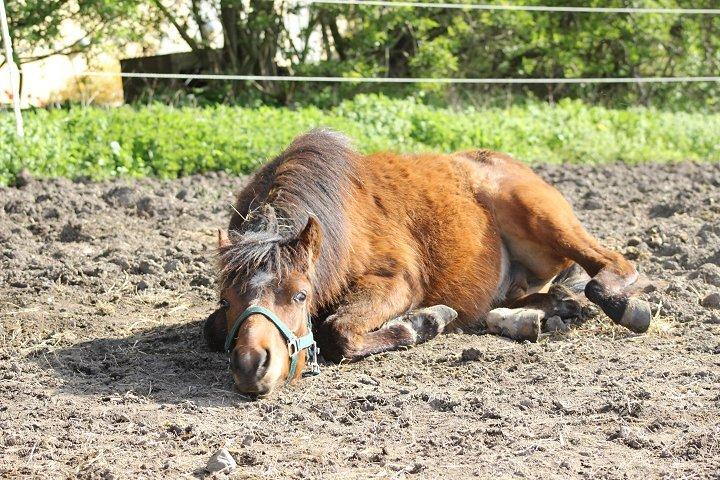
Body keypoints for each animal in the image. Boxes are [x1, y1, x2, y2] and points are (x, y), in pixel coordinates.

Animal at [204, 129, 652, 396]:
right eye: (227, 300)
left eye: (300, 296)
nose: (251, 365)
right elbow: (212, 330)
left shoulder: (398, 281)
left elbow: (337, 331)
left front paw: (423, 322)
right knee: (541, 299)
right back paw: (532, 316)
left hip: (542, 217)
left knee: (609, 269)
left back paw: (623, 306)